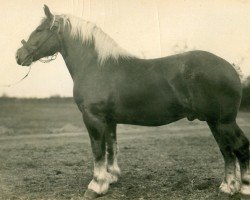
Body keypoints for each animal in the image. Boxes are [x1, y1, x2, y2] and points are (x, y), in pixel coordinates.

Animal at [16, 5, 250, 200]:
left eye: (39, 30)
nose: (19, 55)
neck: (96, 66)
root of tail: (230, 68)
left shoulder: (93, 118)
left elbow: (98, 150)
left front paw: (96, 186)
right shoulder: (109, 120)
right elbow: (111, 147)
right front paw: (111, 178)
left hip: (224, 122)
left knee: (240, 147)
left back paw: (244, 188)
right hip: (214, 122)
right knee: (226, 151)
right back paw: (228, 187)